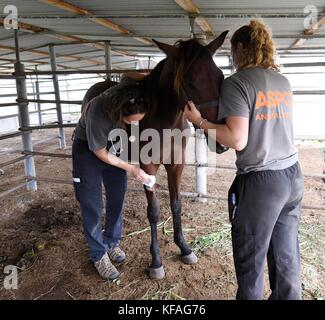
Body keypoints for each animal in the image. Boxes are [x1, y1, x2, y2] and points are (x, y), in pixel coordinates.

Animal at [81, 31, 228, 278]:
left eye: (220, 76)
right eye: (190, 82)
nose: (221, 139)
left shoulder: (176, 164)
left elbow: (176, 204)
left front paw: (184, 248)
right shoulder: (147, 167)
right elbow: (154, 211)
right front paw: (156, 261)